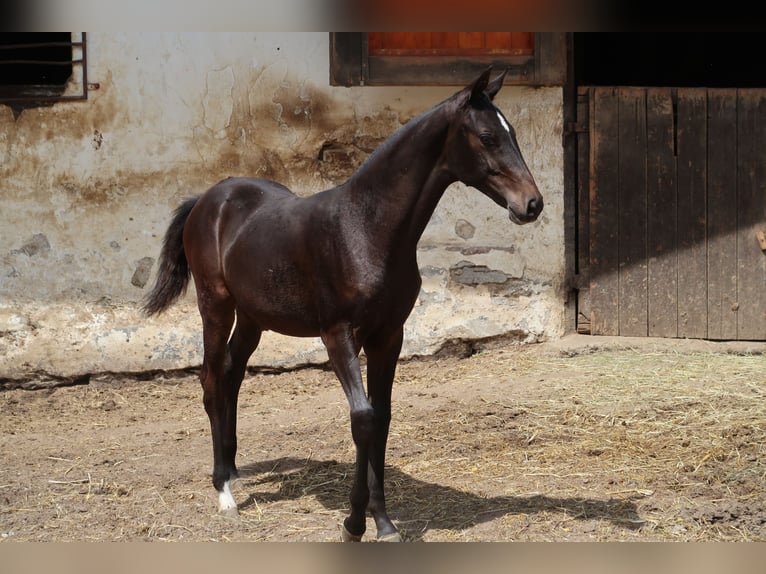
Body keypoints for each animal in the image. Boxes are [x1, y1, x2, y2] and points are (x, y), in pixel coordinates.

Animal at [141, 68, 544, 544]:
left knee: (232, 375)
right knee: (210, 381)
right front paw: (354, 523)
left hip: (254, 317)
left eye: (512, 132)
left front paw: (383, 522)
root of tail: (207, 199)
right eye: (486, 136)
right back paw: (224, 491)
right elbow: (363, 418)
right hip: (215, 305)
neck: (366, 228)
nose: (532, 204)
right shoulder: (338, 335)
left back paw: (234, 469)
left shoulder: (389, 336)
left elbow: (382, 418)